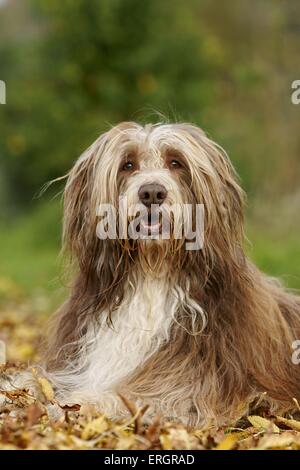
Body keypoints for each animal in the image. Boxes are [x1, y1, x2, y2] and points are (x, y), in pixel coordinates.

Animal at [43, 121, 300, 426]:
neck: (152, 273)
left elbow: (138, 397)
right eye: (128, 164)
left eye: (176, 163)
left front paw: (82, 400)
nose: (152, 193)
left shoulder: (188, 387)